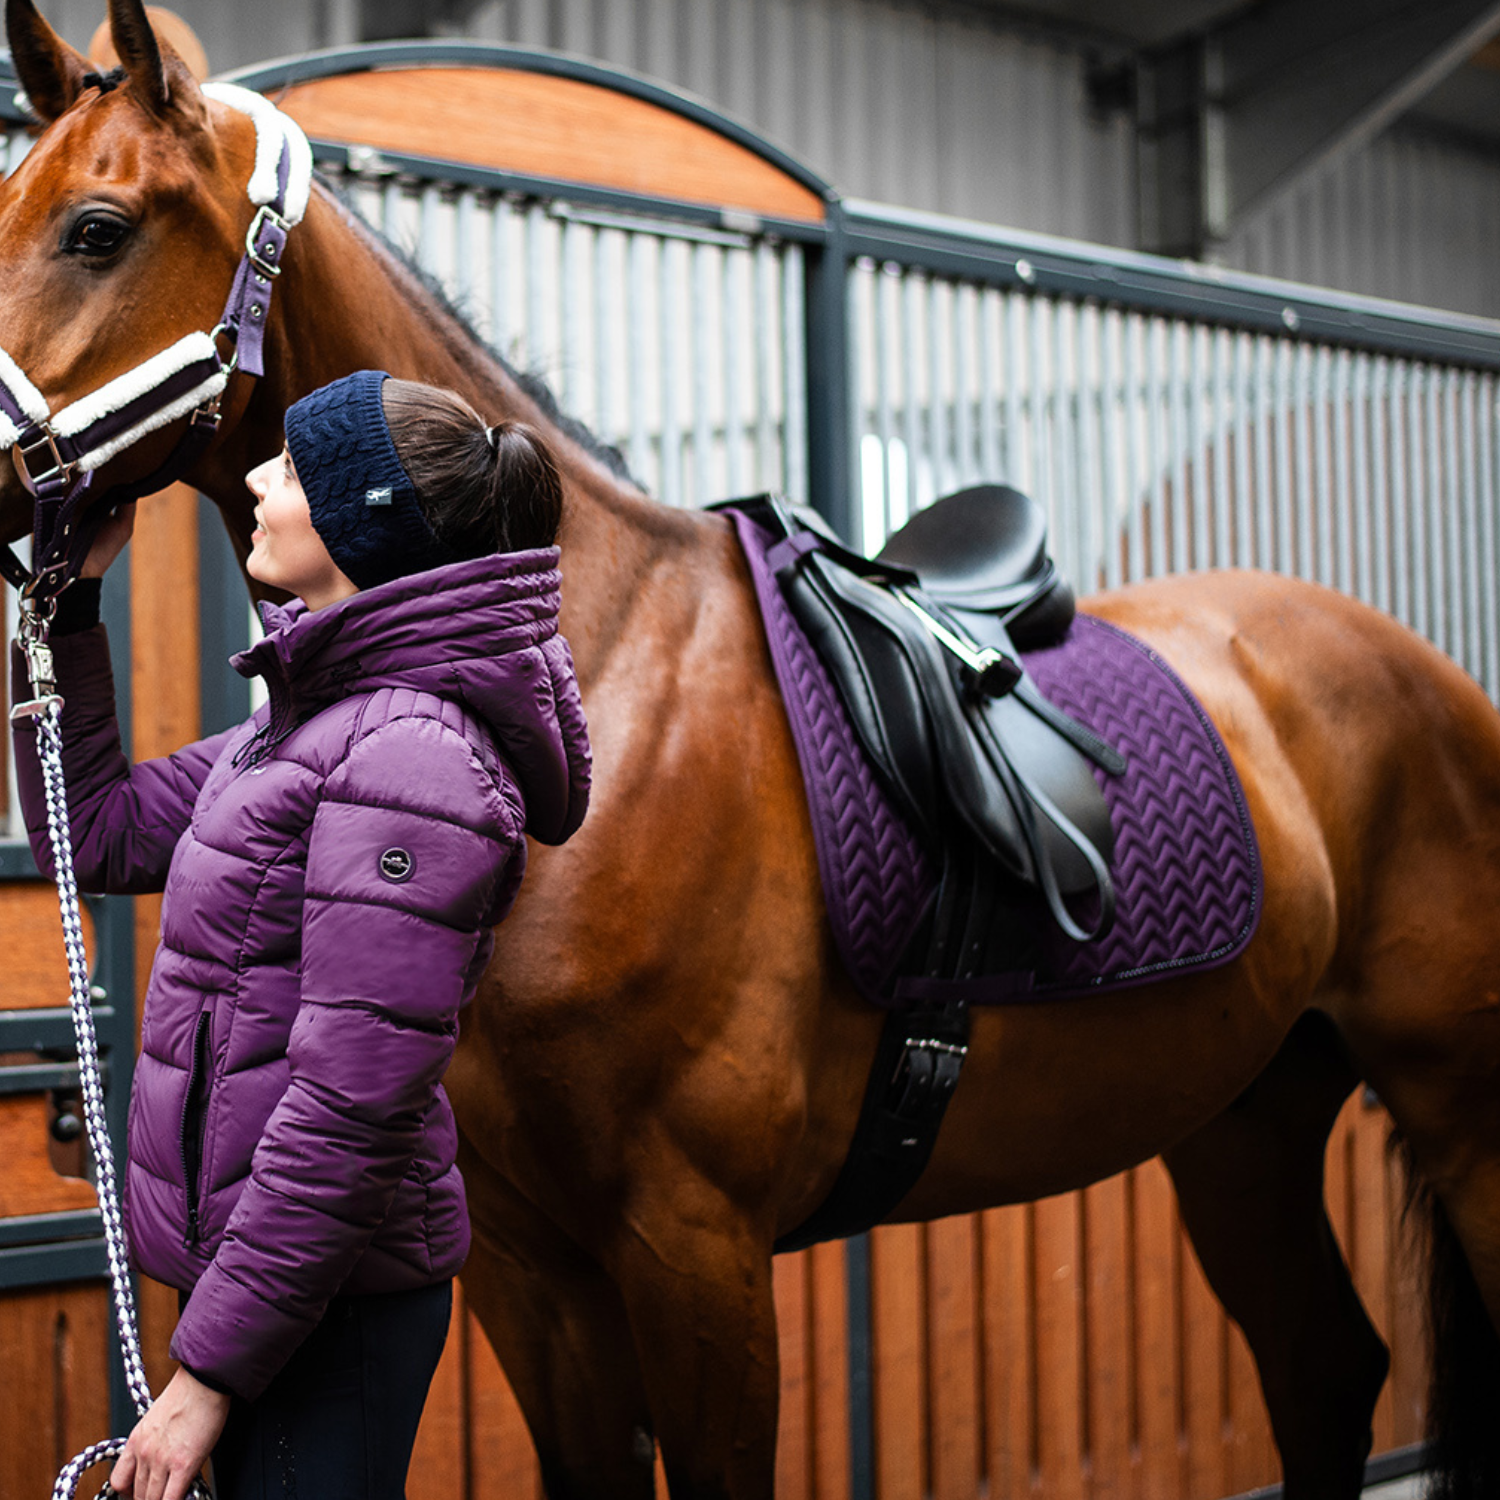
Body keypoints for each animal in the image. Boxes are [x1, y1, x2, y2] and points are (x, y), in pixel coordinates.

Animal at [2, 5, 1500, 1494]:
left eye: (96, 227)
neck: (595, 690)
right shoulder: (530, 1275)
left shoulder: (695, 1252)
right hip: (1246, 1116)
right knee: (1324, 1367)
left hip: (1455, 1112)